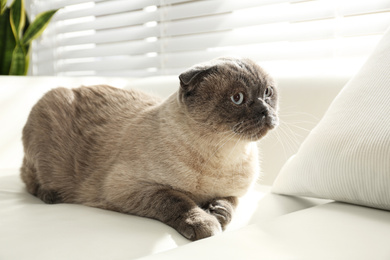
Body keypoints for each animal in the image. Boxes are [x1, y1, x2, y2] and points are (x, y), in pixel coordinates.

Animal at [20, 57, 278, 240]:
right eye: (237, 98)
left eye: (267, 92)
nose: (265, 111)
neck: (223, 153)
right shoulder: (131, 188)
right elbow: (179, 200)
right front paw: (206, 223)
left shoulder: (235, 192)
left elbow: (229, 204)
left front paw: (217, 212)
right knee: (30, 181)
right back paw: (52, 196)